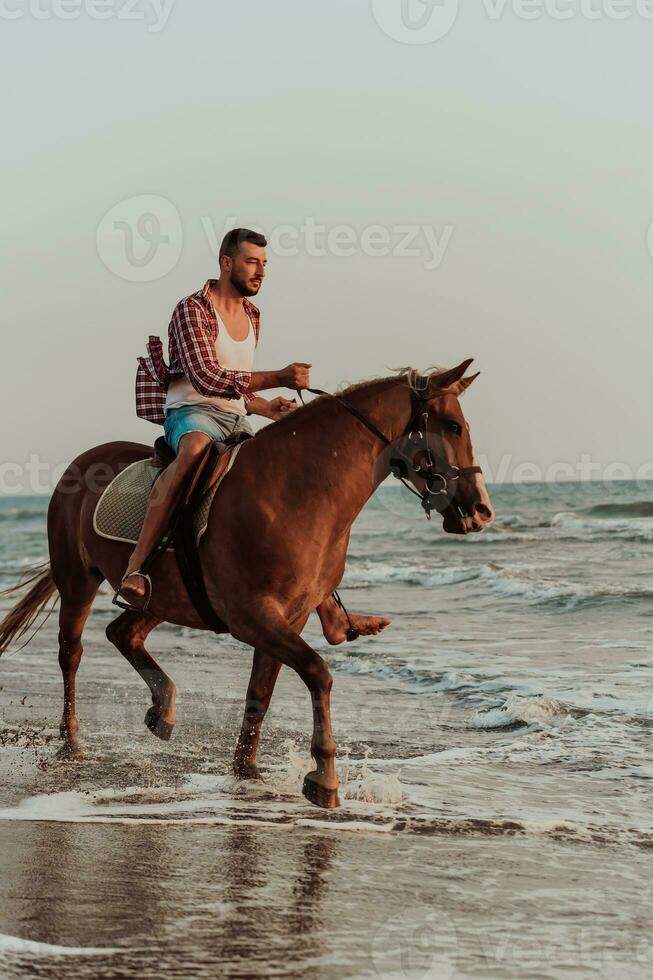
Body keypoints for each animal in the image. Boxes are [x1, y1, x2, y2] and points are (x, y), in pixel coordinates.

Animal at [0, 364, 492, 808]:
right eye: (452, 426)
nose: (481, 511)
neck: (296, 491)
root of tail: (81, 462)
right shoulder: (252, 617)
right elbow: (317, 672)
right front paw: (324, 777)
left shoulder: (287, 617)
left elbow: (261, 693)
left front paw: (247, 773)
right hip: (78, 581)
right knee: (72, 653)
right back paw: (71, 743)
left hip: (165, 598)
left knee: (122, 632)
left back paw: (164, 708)